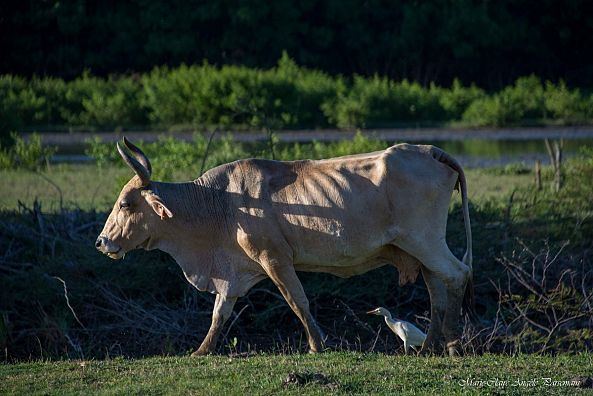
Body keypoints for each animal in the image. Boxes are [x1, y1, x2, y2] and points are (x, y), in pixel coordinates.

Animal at [98, 138, 476, 356]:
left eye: (126, 204)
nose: (102, 241)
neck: (219, 203)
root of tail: (430, 150)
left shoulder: (274, 258)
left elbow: (298, 301)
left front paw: (317, 345)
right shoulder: (234, 272)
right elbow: (220, 312)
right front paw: (201, 351)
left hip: (424, 240)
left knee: (457, 275)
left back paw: (453, 344)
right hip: (419, 248)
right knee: (436, 288)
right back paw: (430, 346)